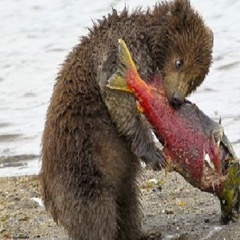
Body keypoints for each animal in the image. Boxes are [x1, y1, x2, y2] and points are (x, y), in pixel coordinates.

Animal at [40, 0, 213, 239]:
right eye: (180, 62)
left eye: (195, 79)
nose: (177, 99)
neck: (149, 40)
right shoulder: (120, 49)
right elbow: (119, 100)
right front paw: (155, 154)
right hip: (81, 164)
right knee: (96, 210)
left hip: (115, 169)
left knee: (127, 200)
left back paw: (141, 233)